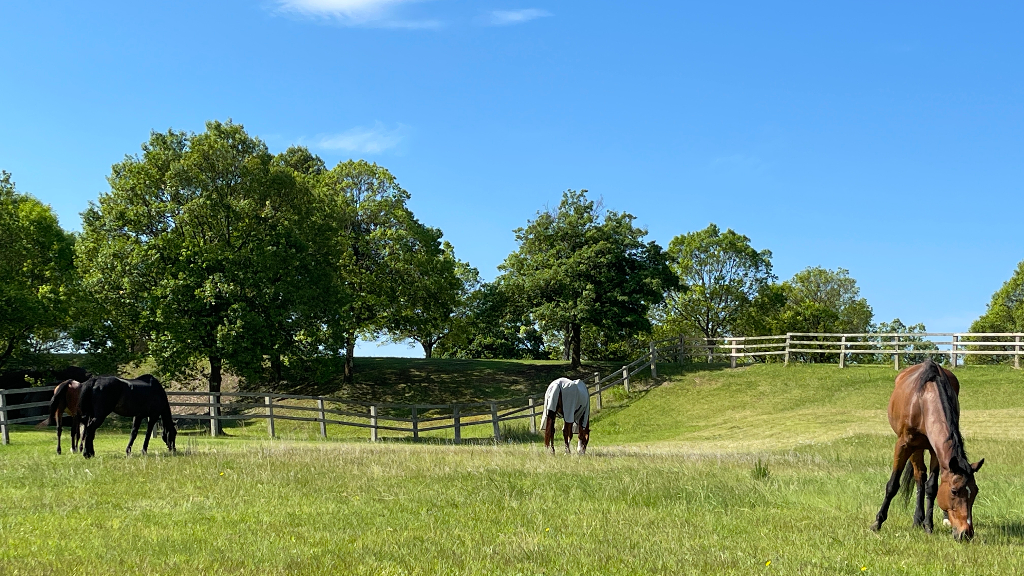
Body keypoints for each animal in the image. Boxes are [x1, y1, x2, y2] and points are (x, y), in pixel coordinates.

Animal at [872, 358, 983, 537]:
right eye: (954, 491)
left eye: (975, 491)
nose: (966, 533)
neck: (923, 401)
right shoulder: (903, 445)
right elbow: (893, 484)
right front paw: (878, 522)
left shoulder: (935, 450)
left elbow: (932, 487)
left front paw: (928, 525)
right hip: (915, 447)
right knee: (919, 477)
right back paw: (917, 519)